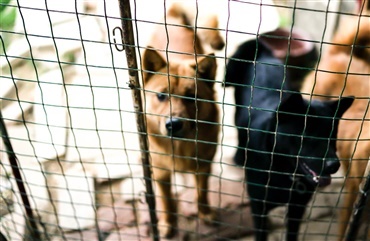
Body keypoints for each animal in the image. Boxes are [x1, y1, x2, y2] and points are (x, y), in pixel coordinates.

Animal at [141, 2, 224, 238]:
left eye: (191, 97)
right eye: (161, 96)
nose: (174, 124)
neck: (180, 147)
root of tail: (172, 16)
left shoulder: (204, 167)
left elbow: (201, 193)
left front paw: (205, 213)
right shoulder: (160, 174)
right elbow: (166, 201)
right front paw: (167, 224)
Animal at [224, 34, 354, 241]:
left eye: (331, 135)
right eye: (306, 135)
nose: (334, 165)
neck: (284, 172)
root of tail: (263, 54)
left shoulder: (297, 208)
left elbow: (292, 232)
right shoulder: (259, 207)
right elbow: (261, 233)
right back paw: (238, 156)